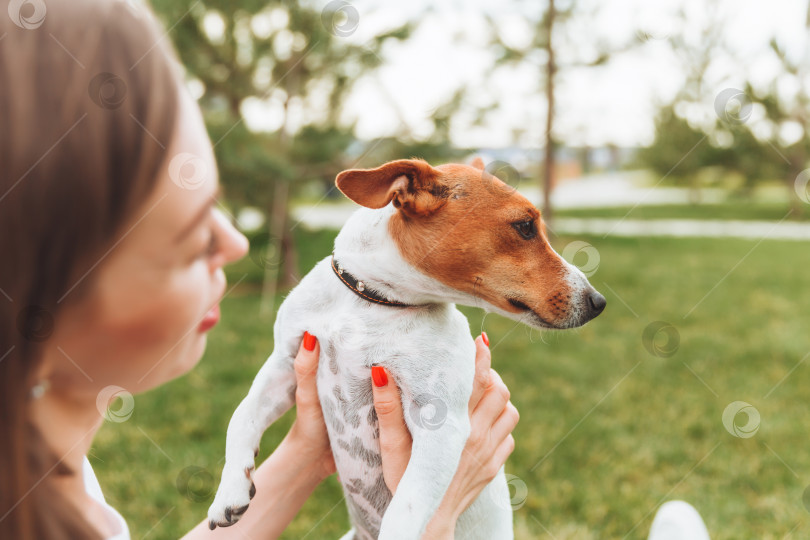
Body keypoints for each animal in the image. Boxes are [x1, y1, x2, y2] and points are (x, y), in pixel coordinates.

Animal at [205, 158, 604, 536]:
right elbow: (242, 416)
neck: (375, 303)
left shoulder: (439, 422)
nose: (598, 302)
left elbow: (405, 509)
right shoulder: (284, 363)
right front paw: (230, 492)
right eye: (524, 226)